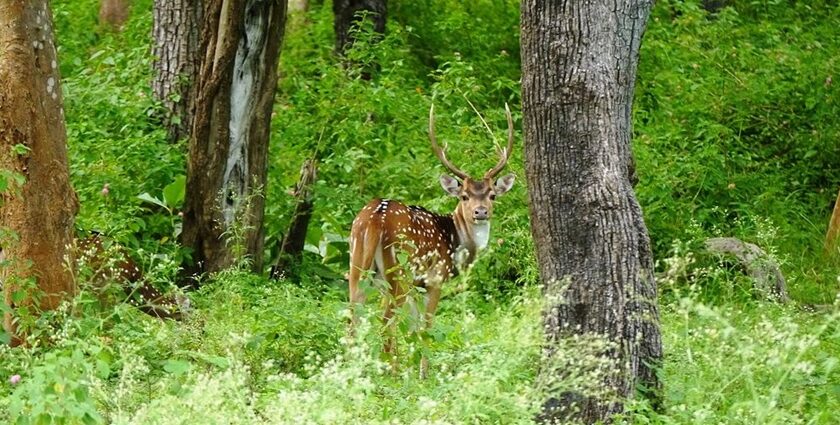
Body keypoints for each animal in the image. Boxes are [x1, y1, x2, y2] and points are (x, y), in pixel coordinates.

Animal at [344, 102, 516, 374]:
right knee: (386, 321)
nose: (481, 212)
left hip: (357, 263)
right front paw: (424, 373)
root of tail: (375, 218)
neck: (457, 243)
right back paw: (390, 372)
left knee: (353, 317)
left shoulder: (418, 284)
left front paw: (414, 370)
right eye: (464, 196)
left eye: (492, 195)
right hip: (399, 269)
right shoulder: (435, 279)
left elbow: (414, 328)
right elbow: (426, 326)